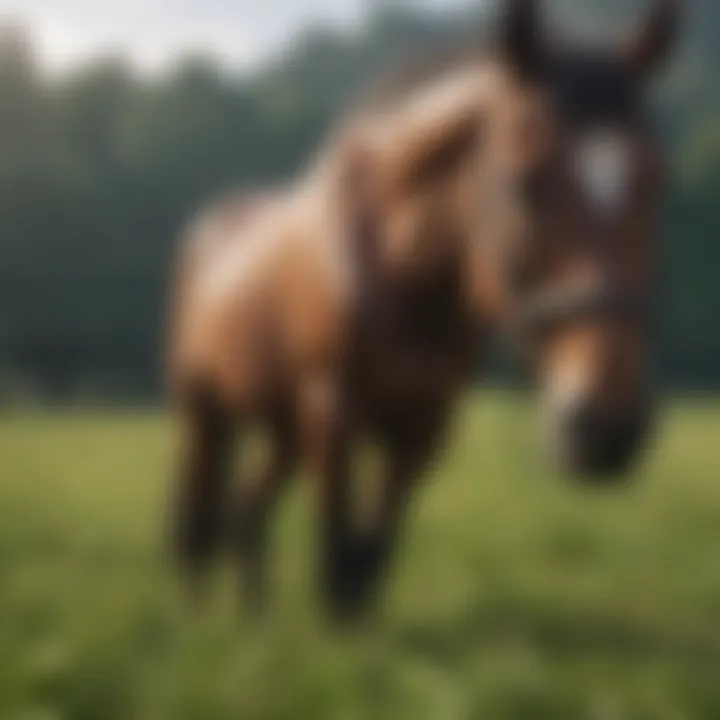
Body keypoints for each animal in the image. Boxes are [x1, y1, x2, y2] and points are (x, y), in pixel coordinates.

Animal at [167, 0, 680, 620]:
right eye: (523, 184)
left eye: (657, 183)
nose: (607, 429)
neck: (401, 272)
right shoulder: (331, 410)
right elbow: (337, 557)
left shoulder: (424, 424)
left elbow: (368, 560)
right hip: (204, 409)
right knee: (199, 518)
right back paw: (199, 613)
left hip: (282, 422)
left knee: (246, 506)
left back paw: (252, 612)